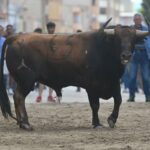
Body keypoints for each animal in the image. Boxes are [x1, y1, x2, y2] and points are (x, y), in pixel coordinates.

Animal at [0, 22, 149, 130]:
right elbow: (95, 105)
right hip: (27, 81)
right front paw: (97, 123)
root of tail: (16, 37)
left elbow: (118, 100)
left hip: (22, 81)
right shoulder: (92, 86)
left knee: (17, 97)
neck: (104, 49)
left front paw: (111, 119)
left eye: (133, 39)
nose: (126, 55)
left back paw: (20, 123)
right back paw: (25, 123)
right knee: (19, 97)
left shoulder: (114, 82)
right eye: (118, 39)